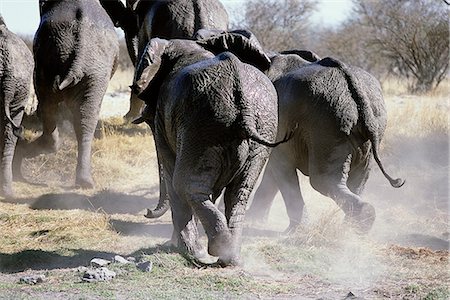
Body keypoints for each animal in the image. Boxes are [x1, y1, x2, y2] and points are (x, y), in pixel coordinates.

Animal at [131, 31, 292, 264]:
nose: (147, 211)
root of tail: (240, 92)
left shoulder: (165, 115)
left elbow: (172, 175)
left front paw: (181, 249)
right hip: (260, 124)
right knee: (239, 191)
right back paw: (230, 256)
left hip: (202, 125)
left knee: (185, 184)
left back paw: (211, 251)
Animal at [248, 51, 406, 234]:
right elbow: (276, 168)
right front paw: (256, 220)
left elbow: (280, 166)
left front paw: (293, 230)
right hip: (364, 126)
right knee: (358, 178)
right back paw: (353, 228)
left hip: (327, 123)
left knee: (322, 180)